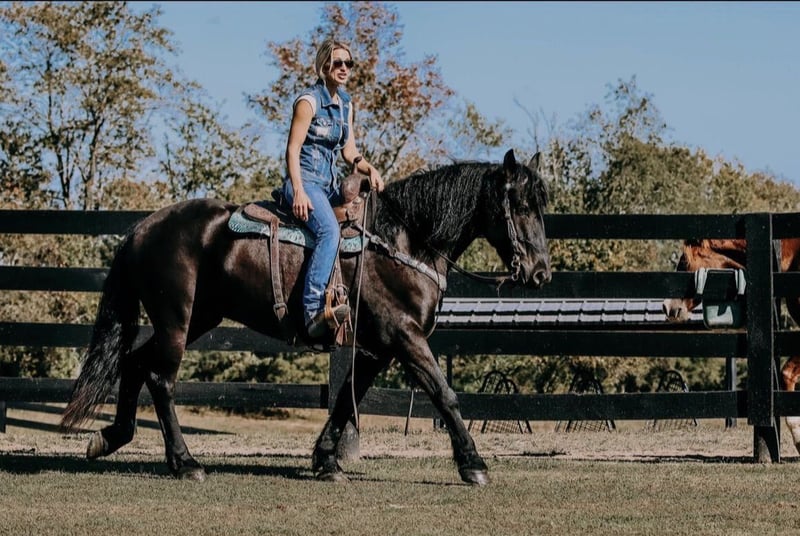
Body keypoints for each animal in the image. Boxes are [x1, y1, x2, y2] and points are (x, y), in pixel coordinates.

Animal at [60, 149, 551, 485]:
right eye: (521, 206)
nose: (540, 272)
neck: (404, 240)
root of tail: (142, 228)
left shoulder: (375, 348)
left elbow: (345, 403)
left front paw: (326, 460)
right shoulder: (405, 337)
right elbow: (445, 395)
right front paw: (473, 463)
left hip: (197, 318)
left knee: (135, 364)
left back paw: (111, 437)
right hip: (176, 321)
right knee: (160, 380)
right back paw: (185, 463)